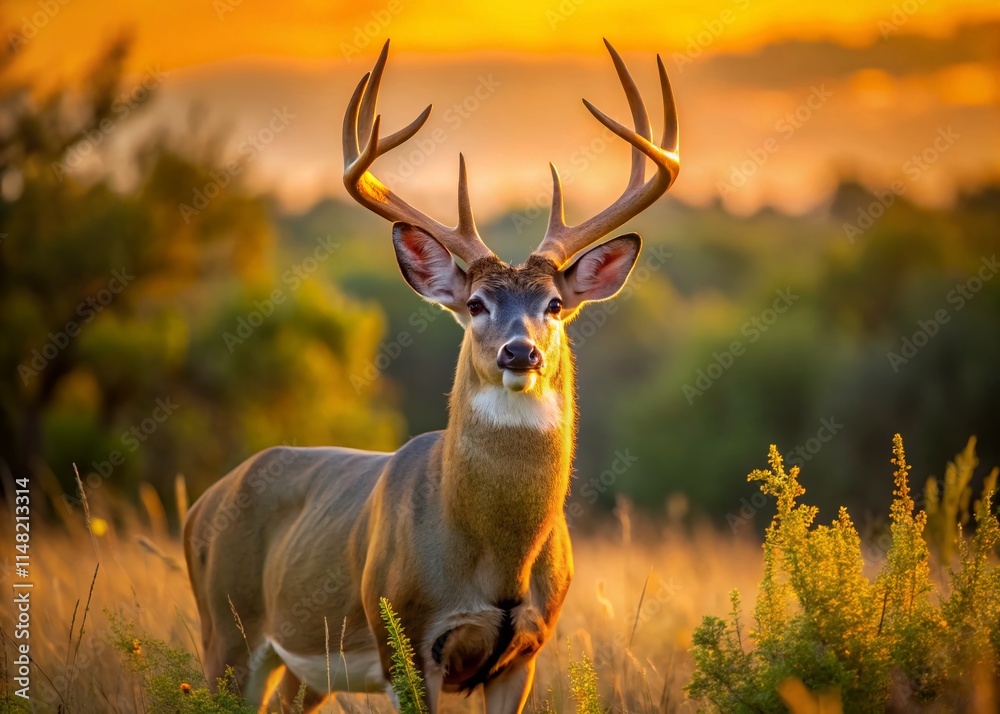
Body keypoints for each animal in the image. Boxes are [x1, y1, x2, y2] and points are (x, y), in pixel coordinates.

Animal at [183, 38, 679, 713]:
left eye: (554, 304)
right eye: (475, 304)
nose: (519, 353)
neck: (496, 561)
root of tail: (199, 507)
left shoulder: (526, 652)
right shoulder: (408, 641)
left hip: (303, 669)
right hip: (225, 630)